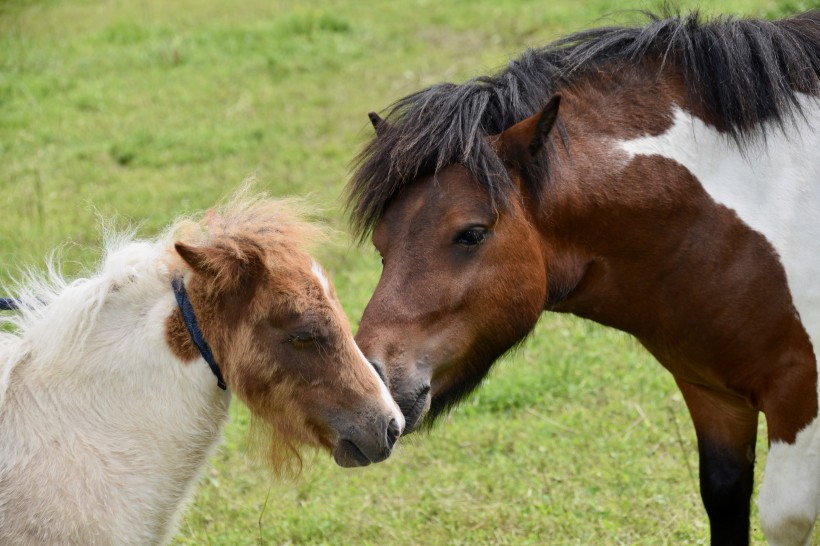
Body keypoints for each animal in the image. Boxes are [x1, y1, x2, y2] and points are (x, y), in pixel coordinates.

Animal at [346, 9, 820, 544]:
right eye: (382, 245)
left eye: (471, 234)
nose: (368, 384)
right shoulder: (713, 396)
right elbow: (724, 497)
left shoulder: (801, 402)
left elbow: (784, 516)